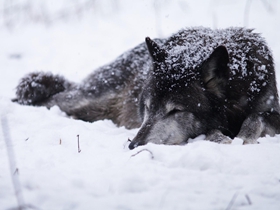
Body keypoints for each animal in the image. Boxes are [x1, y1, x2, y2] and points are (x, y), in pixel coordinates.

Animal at [13, 27, 280, 149]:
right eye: (148, 108)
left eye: (175, 111)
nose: (133, 145)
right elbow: (213, 130)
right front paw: (223, 138)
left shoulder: (271, 109)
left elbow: (256, 116)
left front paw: (243, 136)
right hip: (84, 101)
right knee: (49, 100)